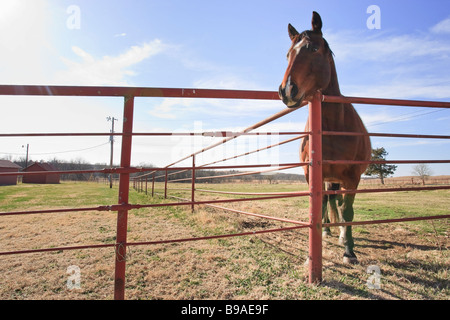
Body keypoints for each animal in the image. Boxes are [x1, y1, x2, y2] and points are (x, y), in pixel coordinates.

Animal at [278, 11, 372, 264]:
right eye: (288, 54)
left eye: (313, 48)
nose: (286, 90)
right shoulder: (312, 174)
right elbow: (317, 207)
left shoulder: (352, 177)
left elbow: (347, 211)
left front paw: (349, 252)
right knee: (329, 201)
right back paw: (329, 230)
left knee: (338, 203)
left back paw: (340, 235)